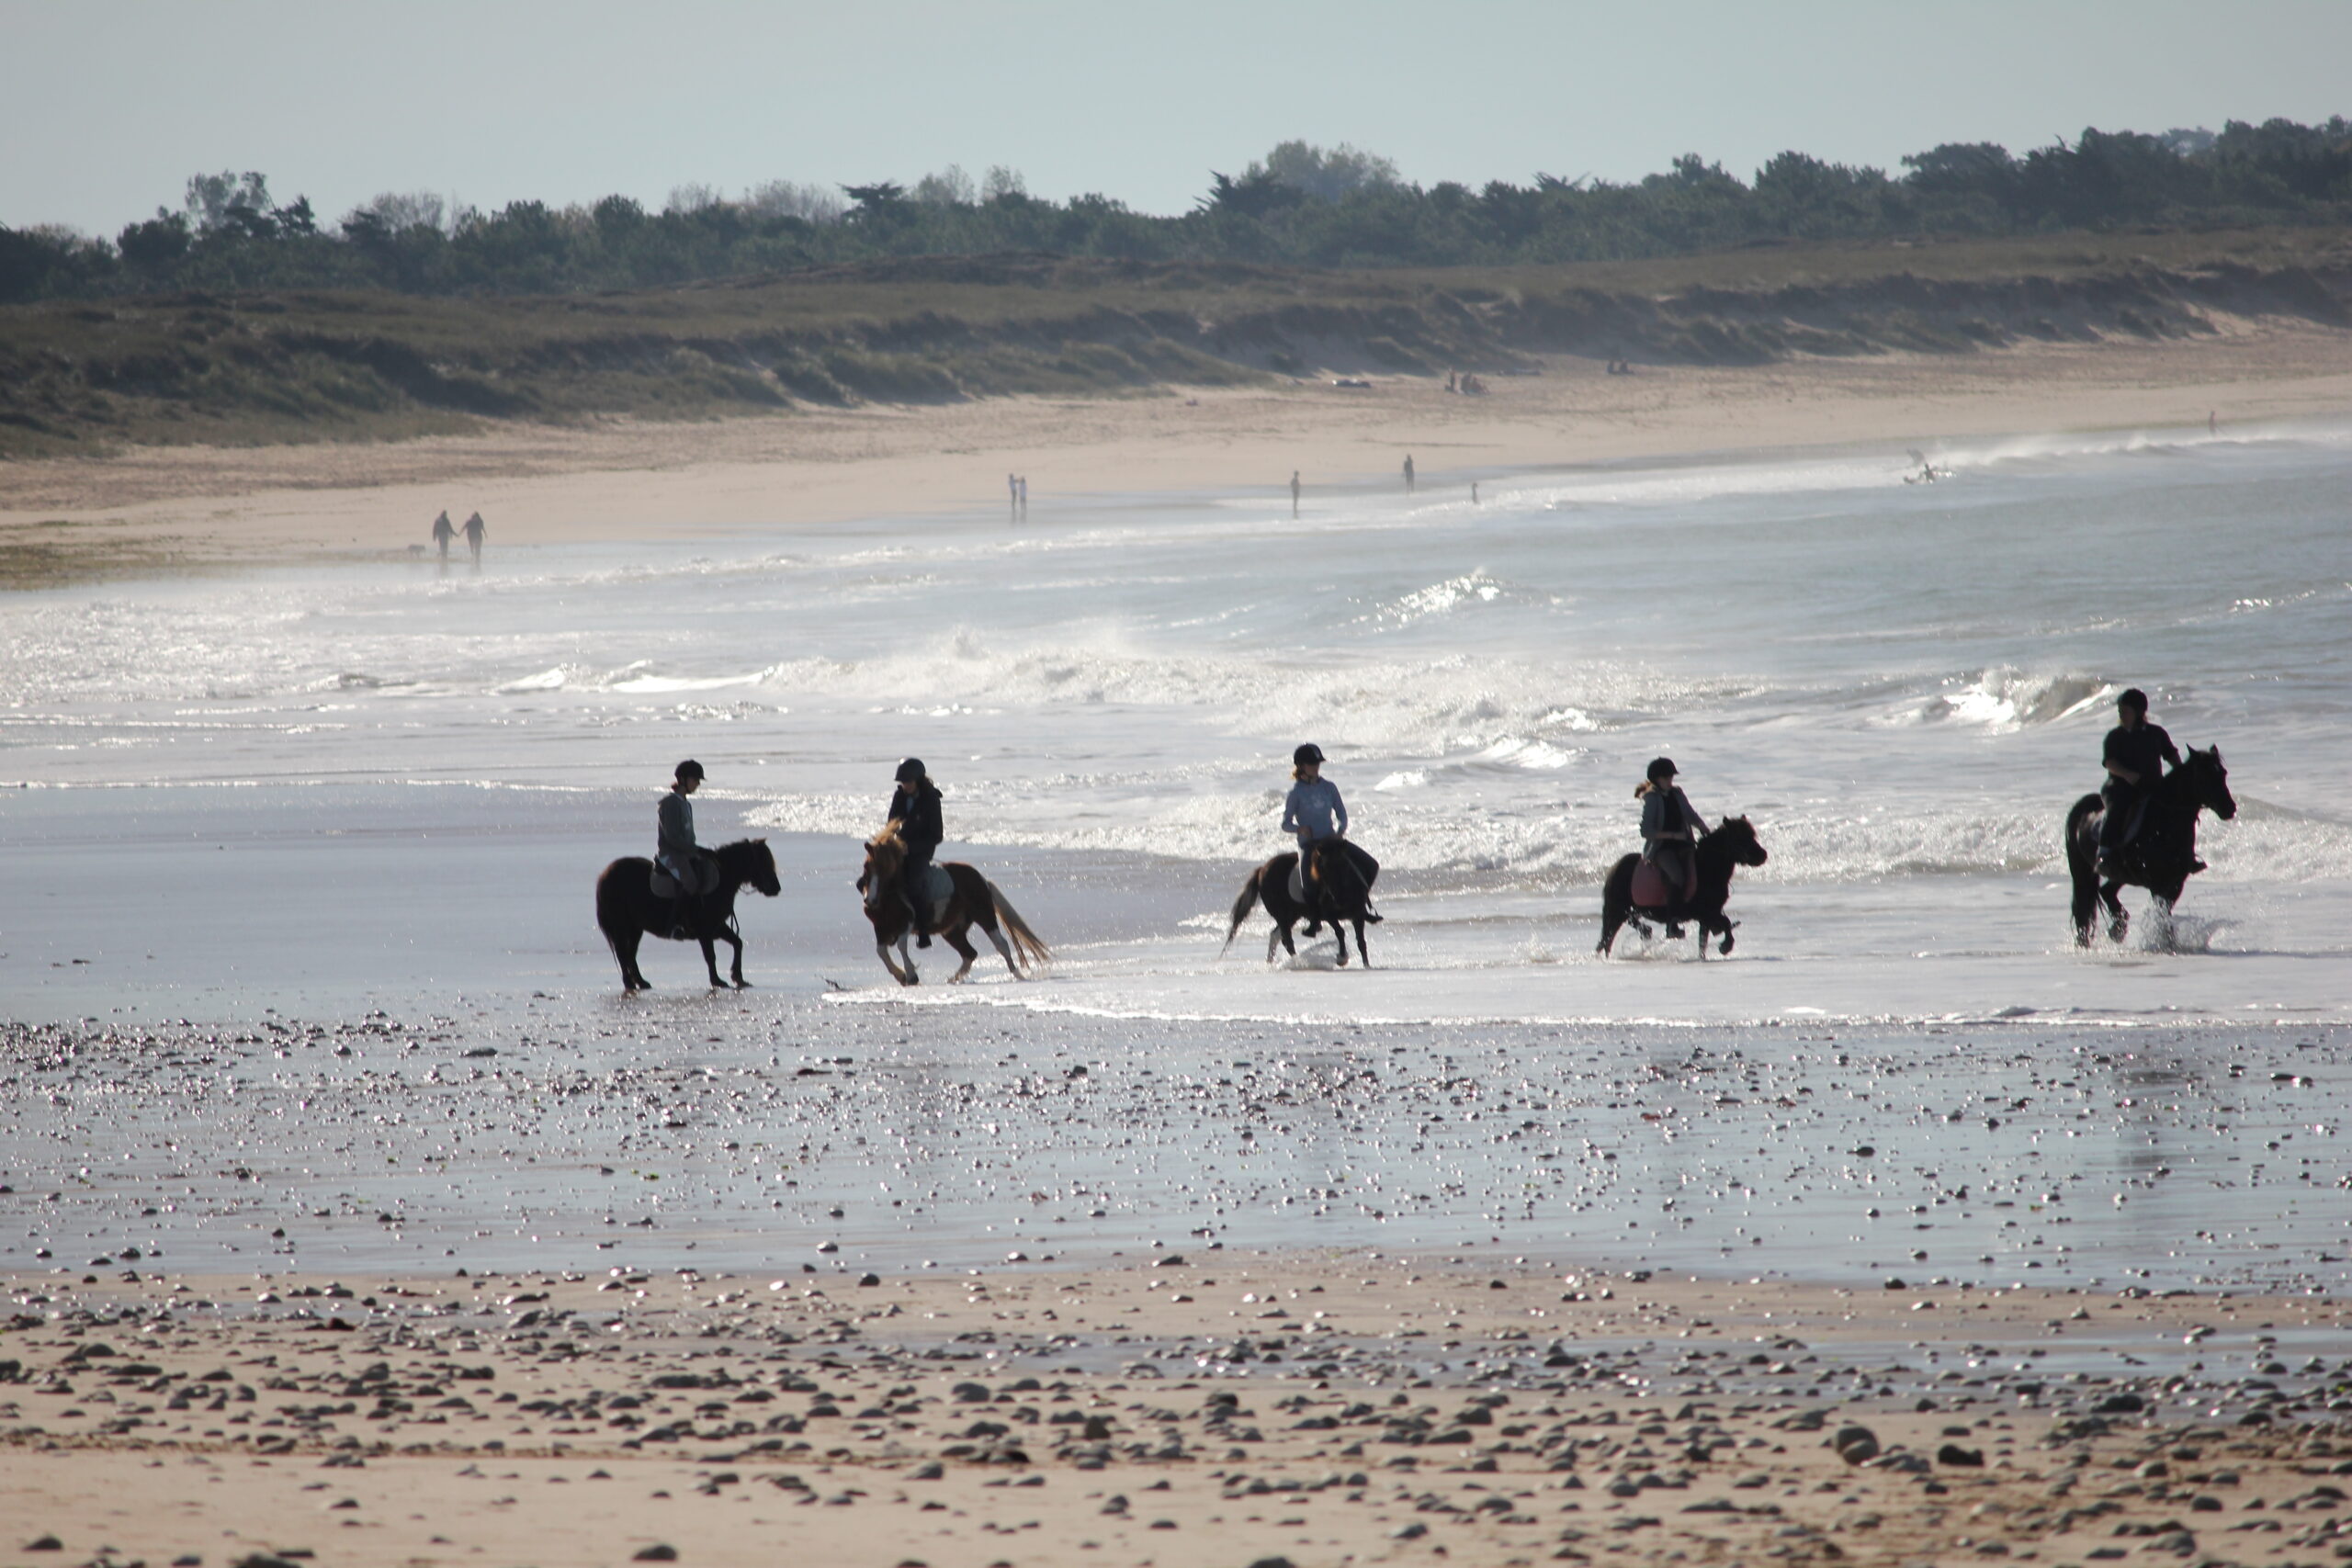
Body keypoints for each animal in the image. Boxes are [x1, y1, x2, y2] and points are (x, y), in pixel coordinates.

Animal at [860, 827, 1044, 987]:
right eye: (866, 868)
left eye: (884, 868)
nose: (870, 900)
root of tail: (982, 880)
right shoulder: (881, 929)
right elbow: (881, 952)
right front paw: (902, 975)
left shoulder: (907, 924)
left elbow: (900, 945)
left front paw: (911, 975)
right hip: (951, 931)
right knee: (969, 954)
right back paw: (952, 979)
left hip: (984, 916)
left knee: (1001, 945)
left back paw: (1017, 974)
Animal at [1232, 846, 1374, 968]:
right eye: (1322, 870)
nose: (1334, 897)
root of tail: (1262, 870)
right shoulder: (1329, 916)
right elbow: (1340, 932)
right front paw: (1342, 958)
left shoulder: (1358, 916)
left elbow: (1361, 942)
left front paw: (1367, 965)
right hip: (1282, 915)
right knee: (1287, 941)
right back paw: (1298, 962)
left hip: (1292, 915)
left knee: (1276, 936)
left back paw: (1272, 961)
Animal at [1599, 822, 1769, 959]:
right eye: (1740, 838)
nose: (1763, 855)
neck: (1706, 868)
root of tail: (1613, 869)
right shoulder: (1706, 913)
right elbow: (1724, 923)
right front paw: (1725, 946)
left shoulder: (1708, 915)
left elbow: (1704, 943)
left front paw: (1708, 955)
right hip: (1616, 911)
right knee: (1607, 939)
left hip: (1629, 910)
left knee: (1624, 927)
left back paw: (1645, 932)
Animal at [2069, 747, 2229, 949]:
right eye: (2203, 776)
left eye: (2223, 773)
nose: (2229, 808)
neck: (2163, 824)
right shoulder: (2156, 882)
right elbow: (2161, 911)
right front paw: (2164, 941)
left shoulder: (2176, 881)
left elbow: (2165, 912)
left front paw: (2168, 941)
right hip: (2081, 871)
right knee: (2083, 906)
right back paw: (2088, 940)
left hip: (2121, 874)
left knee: (2105, 891)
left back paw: (2117, 929)